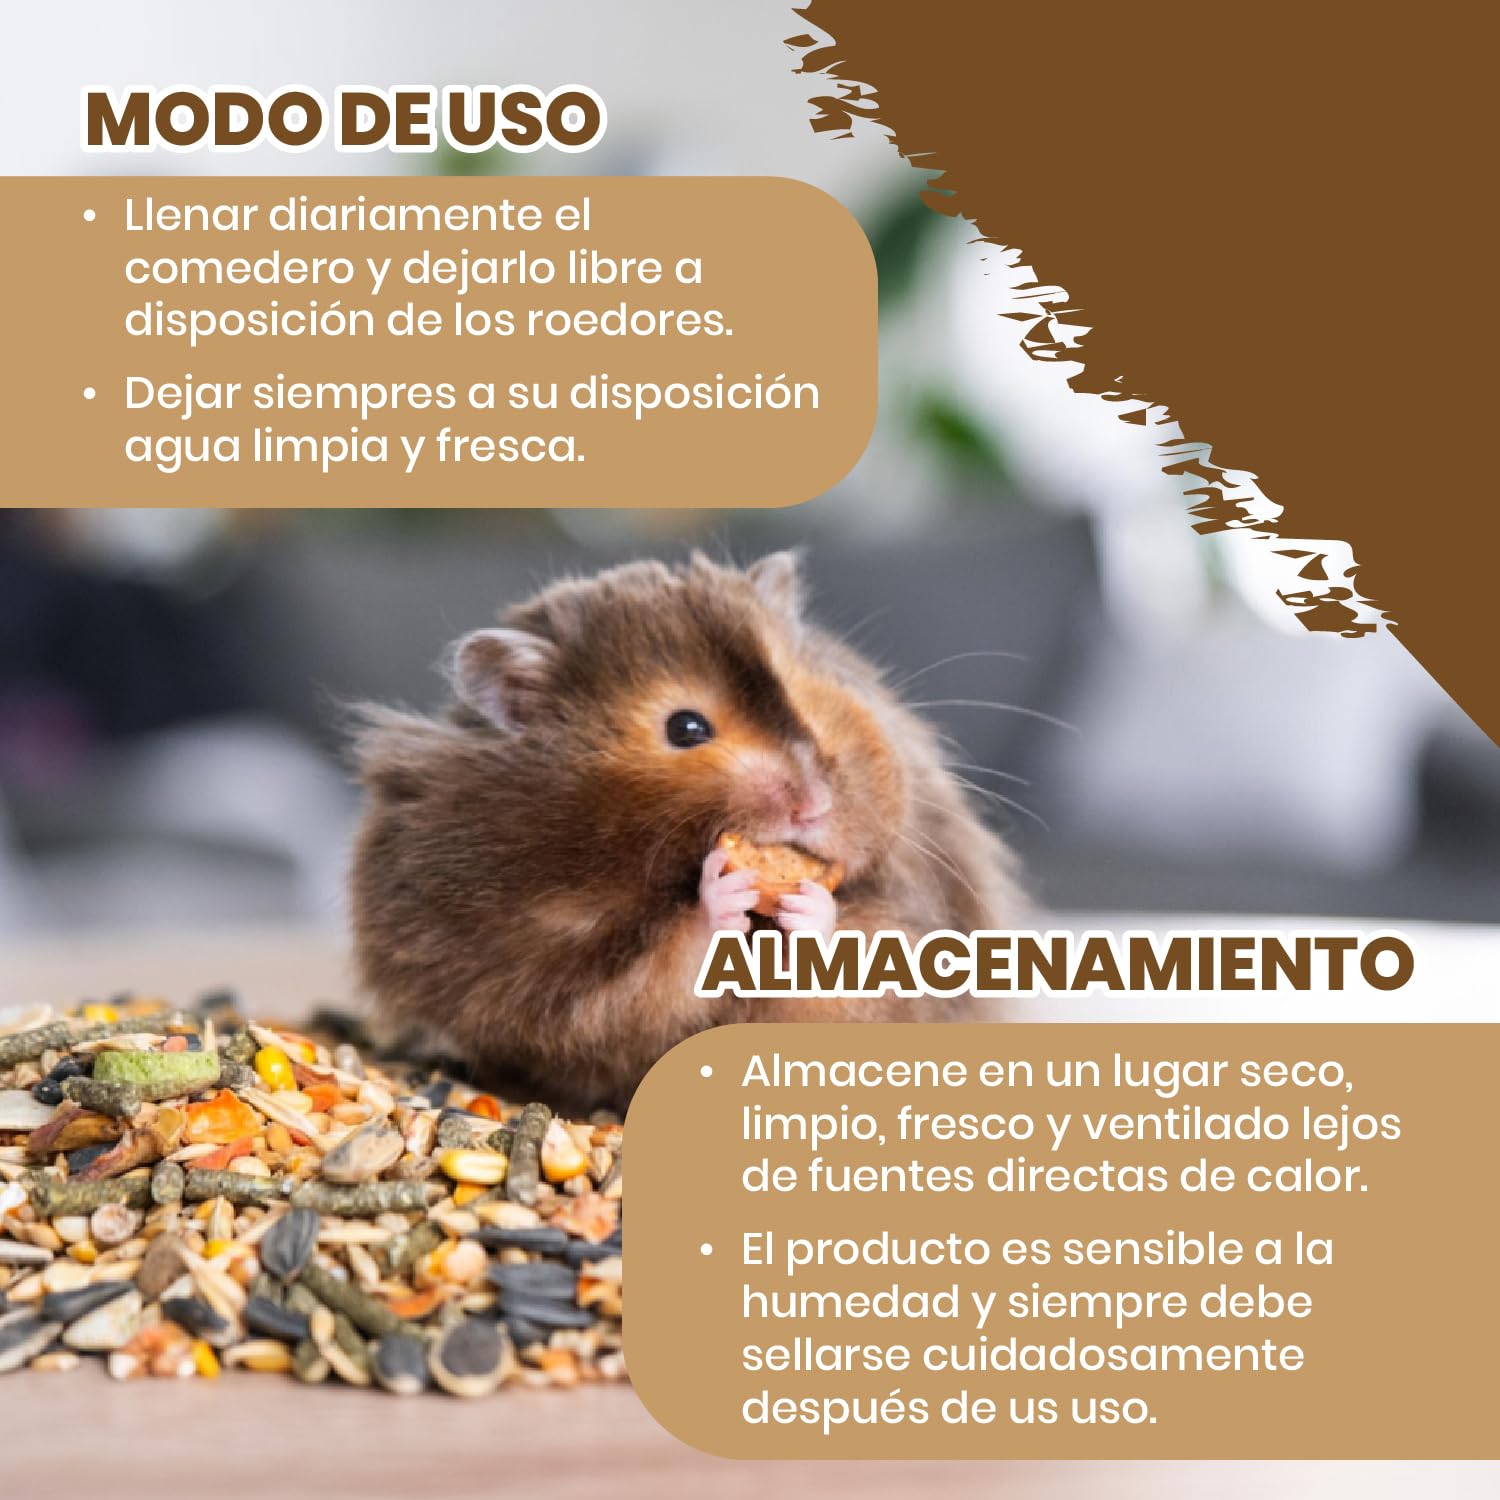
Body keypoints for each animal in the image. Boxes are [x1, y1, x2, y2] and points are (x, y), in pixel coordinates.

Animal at [349, 551, 1019, 1112]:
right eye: (686, 728)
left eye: (804, 692)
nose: (814, 804)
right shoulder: (550, 981)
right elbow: (647, 981)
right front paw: (722, 894)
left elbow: (861, 969)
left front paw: (808, 903)